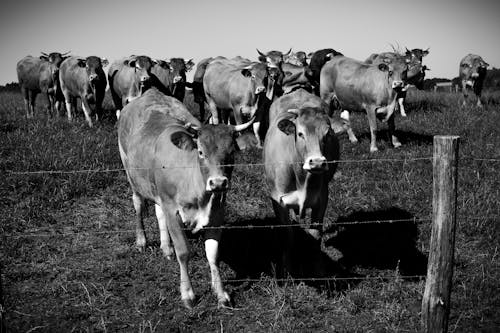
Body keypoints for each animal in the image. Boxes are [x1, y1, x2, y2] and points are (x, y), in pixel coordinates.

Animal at [264, 89, 342, 272]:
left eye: (327, 134)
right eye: (300, 134)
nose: (317, 162)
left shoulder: (322, 199)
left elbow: (316, 234)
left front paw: (318, 269)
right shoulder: (278, 200)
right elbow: (287, 235)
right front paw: (286, 269)